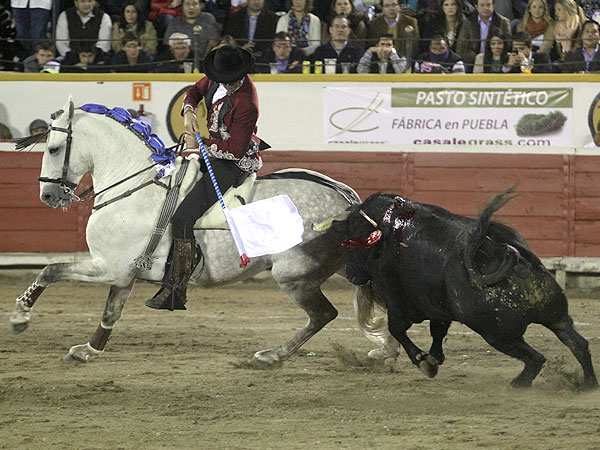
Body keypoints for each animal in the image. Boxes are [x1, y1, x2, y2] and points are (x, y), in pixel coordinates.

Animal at [10, 96, 360, 364]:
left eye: (53, 149)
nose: (48, 196)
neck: (135, 186)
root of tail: (344, 196)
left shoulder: (109, 267)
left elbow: (51, 270)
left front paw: (19, 317)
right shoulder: (123, 273)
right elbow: (111, 311)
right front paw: (88, 350)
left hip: (293, 275)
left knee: (323, 314)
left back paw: (272, 355)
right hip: (341, 266)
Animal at [326, 188, 596, 388]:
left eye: (349, 244)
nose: (351, 274)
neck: (385, 228)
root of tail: (504, 252)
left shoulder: (398, 300)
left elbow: (398, 329)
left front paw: (425, 362)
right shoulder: (438, 306)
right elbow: (438, 331)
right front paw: (435, 357)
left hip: (497, 333)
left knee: (536, 358)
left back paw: (519, 383)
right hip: (554, 314)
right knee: (578, 343)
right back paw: (588, 383)